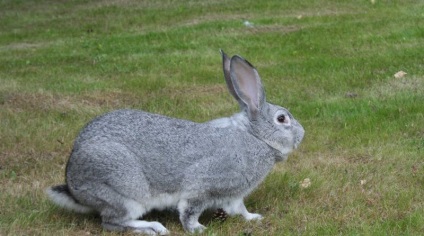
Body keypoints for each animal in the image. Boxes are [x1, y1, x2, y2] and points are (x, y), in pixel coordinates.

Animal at [46, 50, 304, 235]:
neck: (254, 137)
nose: (302, 134)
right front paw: (198, 229)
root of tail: (73, 185)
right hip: (125, 189)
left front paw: (254, 218)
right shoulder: (204, 185)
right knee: (112, 222)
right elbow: (189, 210)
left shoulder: (234, 195)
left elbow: (239, 209)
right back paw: (154, 228)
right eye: (282, 119)